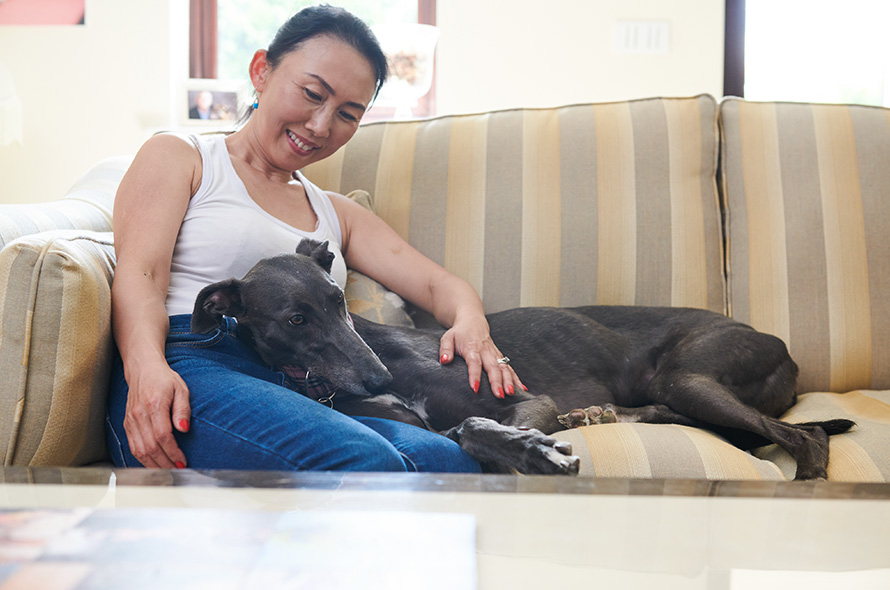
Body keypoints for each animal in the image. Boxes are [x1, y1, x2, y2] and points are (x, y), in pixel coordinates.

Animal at [191, 240, 848, 480]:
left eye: (339, 301)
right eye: (296, 320)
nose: (377, 375)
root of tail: (784, 351)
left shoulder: (528, 396)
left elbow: (476, 423)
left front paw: (532, 449)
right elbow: (460, 430)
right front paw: (529, 448)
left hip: (689, 373)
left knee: (807, 437)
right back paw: (601, 417)